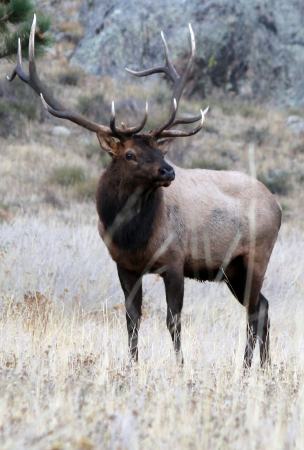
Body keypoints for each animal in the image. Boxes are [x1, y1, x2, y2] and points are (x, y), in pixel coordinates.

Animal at [7, 17, 282, 370]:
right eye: (130, 154)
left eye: (159, 149)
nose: (169, 171)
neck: (132, 236)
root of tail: (277, 205)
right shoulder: (124, 265)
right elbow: (132, 318)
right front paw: (133, 365)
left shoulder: (175, 259)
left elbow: (173, 320)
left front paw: (179, 367)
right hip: (232, 269)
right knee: (263, 306)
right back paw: (263, 366)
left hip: (256, 255)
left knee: (253, 311)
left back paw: (247, 369)